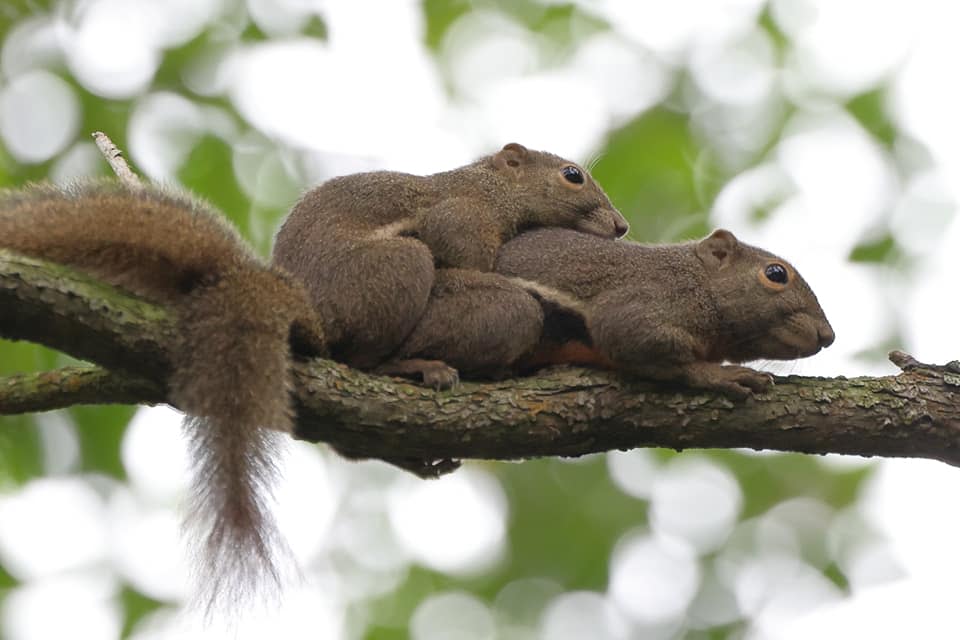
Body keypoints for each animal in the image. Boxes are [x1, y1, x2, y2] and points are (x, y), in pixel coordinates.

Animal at [272, 142, 632, 384]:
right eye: (572, 175)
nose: (622, 226)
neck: (493, 190)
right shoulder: (461, 217)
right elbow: (470, 262)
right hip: (393, 268)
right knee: (361, 360)